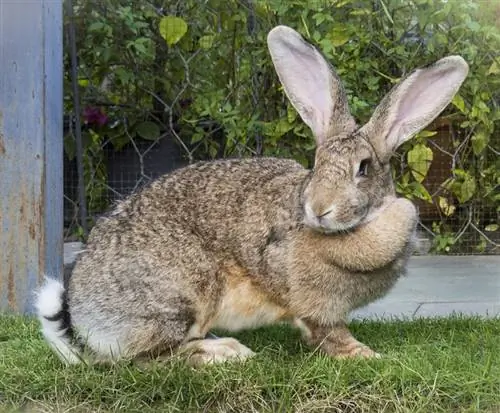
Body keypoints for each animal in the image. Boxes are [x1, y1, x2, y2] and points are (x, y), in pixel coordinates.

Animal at [36, 25, 468, 364]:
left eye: (363, 168)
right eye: (316, 163)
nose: (319, 209)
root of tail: (83, 318)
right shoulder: (314, 303)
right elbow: (328, 332)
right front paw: (365, 355)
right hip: (181, 294)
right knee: (148, 360)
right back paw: (223, 353)